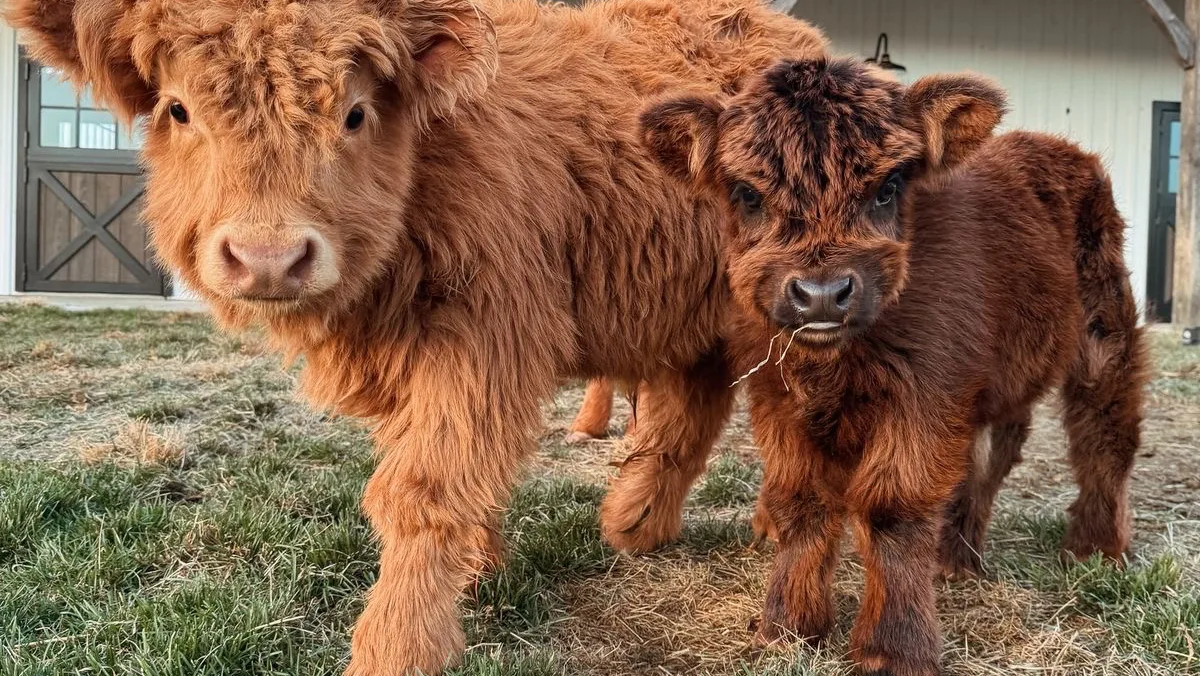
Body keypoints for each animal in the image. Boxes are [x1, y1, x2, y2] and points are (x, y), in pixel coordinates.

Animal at [5, 0, 828, 673]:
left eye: (354, 114)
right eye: (178, 109)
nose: (269, 256)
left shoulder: (483, 339)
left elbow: (422, 490)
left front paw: (397, 646)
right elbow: (459, 476)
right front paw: (481, 566)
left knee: (794, 449)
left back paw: (782, 602)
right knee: (690, 412)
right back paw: (638, 525)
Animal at [639, 57, 1147, 676]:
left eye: (887, 189)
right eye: (747, 194)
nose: (822, 295)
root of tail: (1059, 146)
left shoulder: (925, 396)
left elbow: (892, 511)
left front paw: (894, 647)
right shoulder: (776, 396)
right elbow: (800, 503)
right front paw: (787, 626)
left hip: (1104, 335)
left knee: (1105, 431)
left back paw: (1096, 551)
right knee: (992, 456)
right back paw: (955, 557)